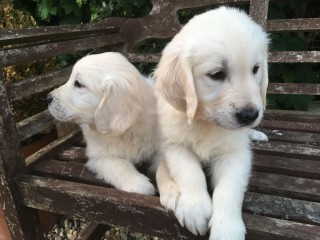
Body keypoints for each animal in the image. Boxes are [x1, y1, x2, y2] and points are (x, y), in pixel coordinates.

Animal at [47, 52, 157, 195]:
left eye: (78, 83)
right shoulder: (99, 156)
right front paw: (139, 184)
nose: (47, 98)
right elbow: (120, 165)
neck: (125, 131)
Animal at [154, 6, 268, 239]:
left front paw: (227, 228)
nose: (250, 115)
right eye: (216, 74)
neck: (206, 123)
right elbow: (190, 172)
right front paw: (195, 208)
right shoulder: (174, 145)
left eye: (255, 69)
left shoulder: (235, 153)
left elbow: (229, 189)